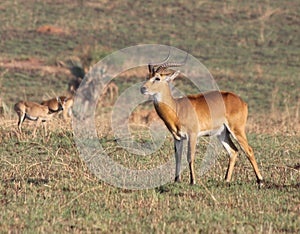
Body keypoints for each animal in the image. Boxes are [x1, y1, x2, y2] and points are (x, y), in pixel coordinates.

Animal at [140, 55, 262, 187]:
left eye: (157, 78)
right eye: (147, 77)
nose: (143, 88)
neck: (177, 108)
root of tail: (242, 101)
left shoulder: (192, 135)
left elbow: (190, 156)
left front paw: (193, 181)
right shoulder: (177, 138)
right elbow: (178, 157)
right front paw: (177, 180)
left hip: (237, 130)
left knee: (248, 150)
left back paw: (260, 181)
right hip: (222, 133)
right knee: (233, 151)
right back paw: (226, 180)